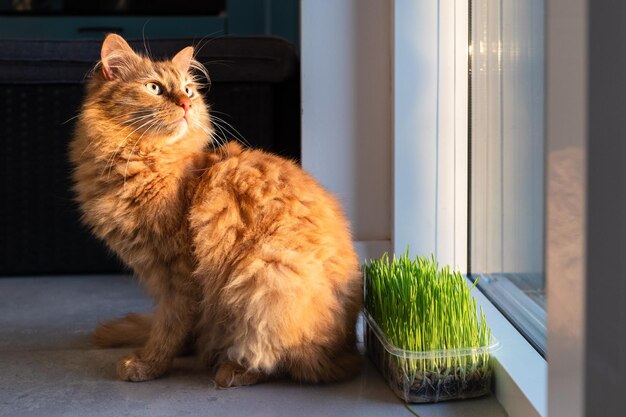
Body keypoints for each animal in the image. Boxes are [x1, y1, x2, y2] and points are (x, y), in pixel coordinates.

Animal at [69, 34, 360, 386]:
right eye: (154, 88)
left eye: (188, 89)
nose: (186, 104)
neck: (146, 161)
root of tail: (349, 352)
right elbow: (178, 326)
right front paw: (174, 350)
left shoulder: (179, 273)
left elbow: (170, 326)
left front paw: (148, 364)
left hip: (266, 275)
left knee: (275, 359)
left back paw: (232, 370)